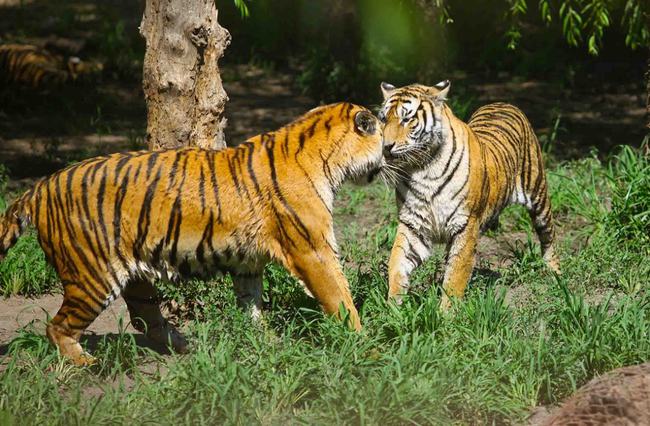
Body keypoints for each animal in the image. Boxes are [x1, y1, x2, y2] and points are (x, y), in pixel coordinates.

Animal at [0, 103, 382, 366]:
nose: (389, 156)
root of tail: (38, 188)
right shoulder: (313, 250)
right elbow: (340, 297)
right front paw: (364, 342)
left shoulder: (248, 264)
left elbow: (251, 303)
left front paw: (264, 339)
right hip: (91, 275)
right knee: (57, 326)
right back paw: (87, 364)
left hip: (131, 275)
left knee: (143, 317)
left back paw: (184, 345)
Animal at [378, 81, 560, 312]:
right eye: (384, 119)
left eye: (407, 119)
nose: (386, 147)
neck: (423, 168)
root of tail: (503, 102)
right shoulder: (413, 224)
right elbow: (397, 263)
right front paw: (393, 308)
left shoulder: (465, 225)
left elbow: (455, 277)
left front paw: (445, 315)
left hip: (538, 194)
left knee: (549, 234)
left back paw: (554, 273)